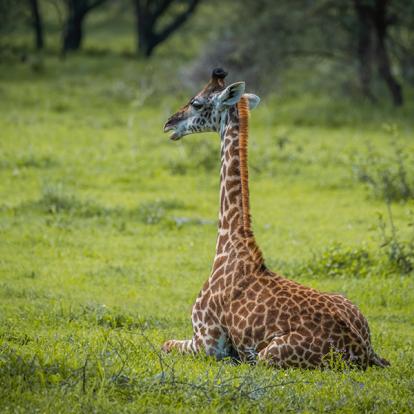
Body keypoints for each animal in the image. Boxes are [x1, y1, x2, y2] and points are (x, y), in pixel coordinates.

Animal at [161, 68, 388, 368]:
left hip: (268, 355)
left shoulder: (207, 344)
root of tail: (363, 350)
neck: (228, 243)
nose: (169, 123)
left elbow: (165, 344)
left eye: (196, 103)